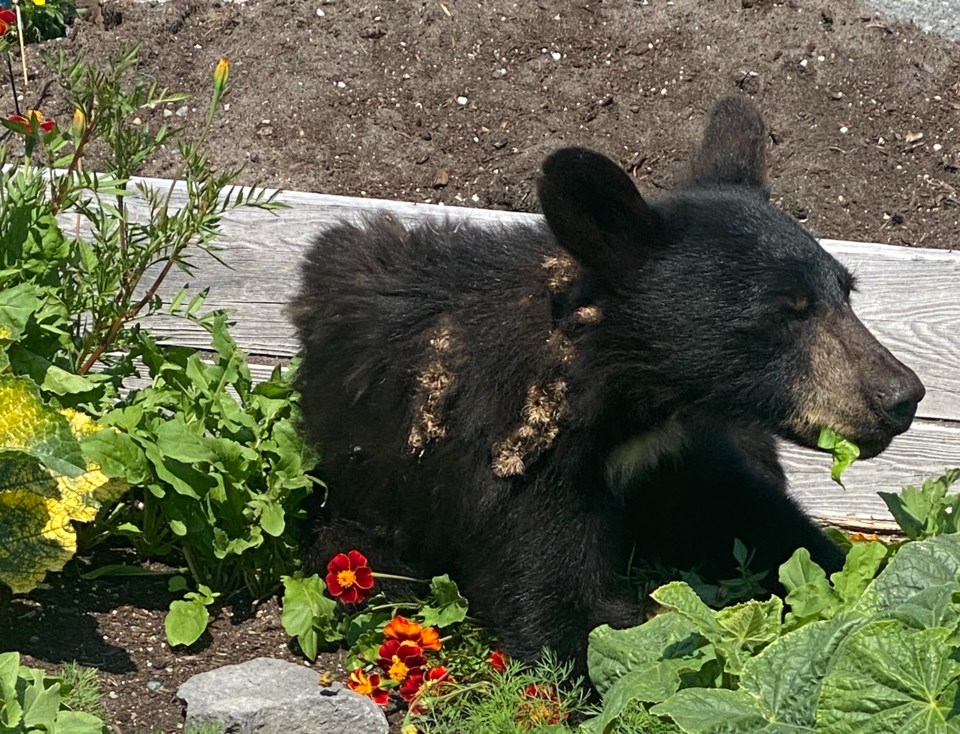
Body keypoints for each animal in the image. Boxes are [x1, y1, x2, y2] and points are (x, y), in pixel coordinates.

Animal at [290, 98, 924, 672]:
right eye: (788, 310)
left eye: (846, 291)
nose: (902, 395)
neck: (629, 398)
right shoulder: (519, 462)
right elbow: (561, 608)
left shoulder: (680, 449)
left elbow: (760, 520)